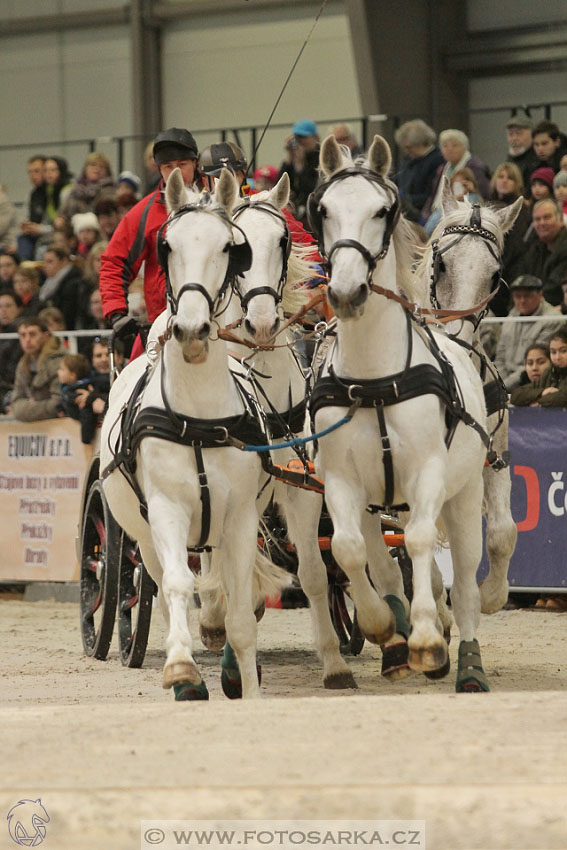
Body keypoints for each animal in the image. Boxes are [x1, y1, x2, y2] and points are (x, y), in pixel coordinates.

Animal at [101, 169, 268, 700]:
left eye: (229, 248)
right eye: (166, 245)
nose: (192, 331)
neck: (199, 420)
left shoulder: (241, 517)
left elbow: (241, 614)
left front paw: (249, 688)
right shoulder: (166, 510)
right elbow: (176, 586)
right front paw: (181, 669)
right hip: (144, 534)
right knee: (160, 582)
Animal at [312, 134, 490, 688]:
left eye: (382, 211)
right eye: (323, 209)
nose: (346, 292)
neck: (375, 380)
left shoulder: (429, 473)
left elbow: (418, 542)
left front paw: (429, 639)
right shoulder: (341, 481)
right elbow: (349, 551)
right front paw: (382, 626)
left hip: (465, 492)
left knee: (462, 578)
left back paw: (466, 663)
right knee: (384, 559)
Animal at [412, 182, 524, 612]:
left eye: (495, 276)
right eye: (442, 265)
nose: (456, 337)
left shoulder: (494, 453)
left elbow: (503, 532)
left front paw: (491, 595)